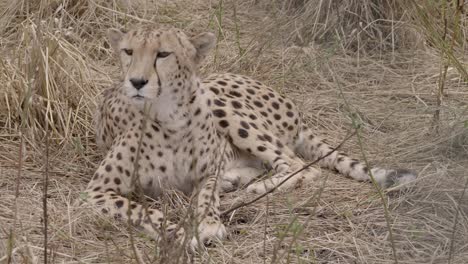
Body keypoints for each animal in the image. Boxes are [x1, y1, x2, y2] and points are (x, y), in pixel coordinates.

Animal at [86, 24, 414, 250]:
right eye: (129, 52)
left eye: (163, 54)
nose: (136, 81)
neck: (170, 116)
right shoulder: (96, 191)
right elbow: (143, 210)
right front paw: (182, 232)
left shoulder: (206, 173)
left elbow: (206, 196)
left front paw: (208, 224)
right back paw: (237, 181)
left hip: (221, 103)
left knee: (300, 165)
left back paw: (255, 189)